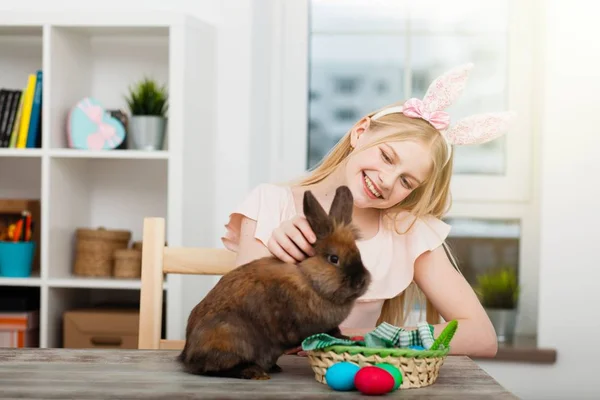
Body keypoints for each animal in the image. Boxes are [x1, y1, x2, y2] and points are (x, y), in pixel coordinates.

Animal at [178, 186, 370, 380]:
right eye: (334, 259)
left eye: (359, 255)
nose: (360, 281)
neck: (309, 279)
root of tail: (186, 354)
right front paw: (343, 338)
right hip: (229, 336)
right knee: (212, 368)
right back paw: (254, 372)